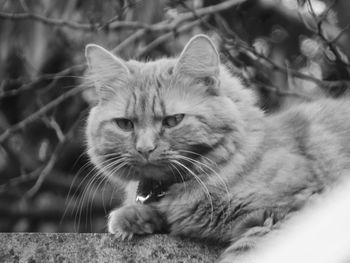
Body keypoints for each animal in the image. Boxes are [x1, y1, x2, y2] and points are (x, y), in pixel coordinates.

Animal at [84, 34, 350, 262]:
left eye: (173, 121)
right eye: (125, 124)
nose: (145, 148)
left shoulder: (285, 213)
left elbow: (245, 254)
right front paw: (132, 217)